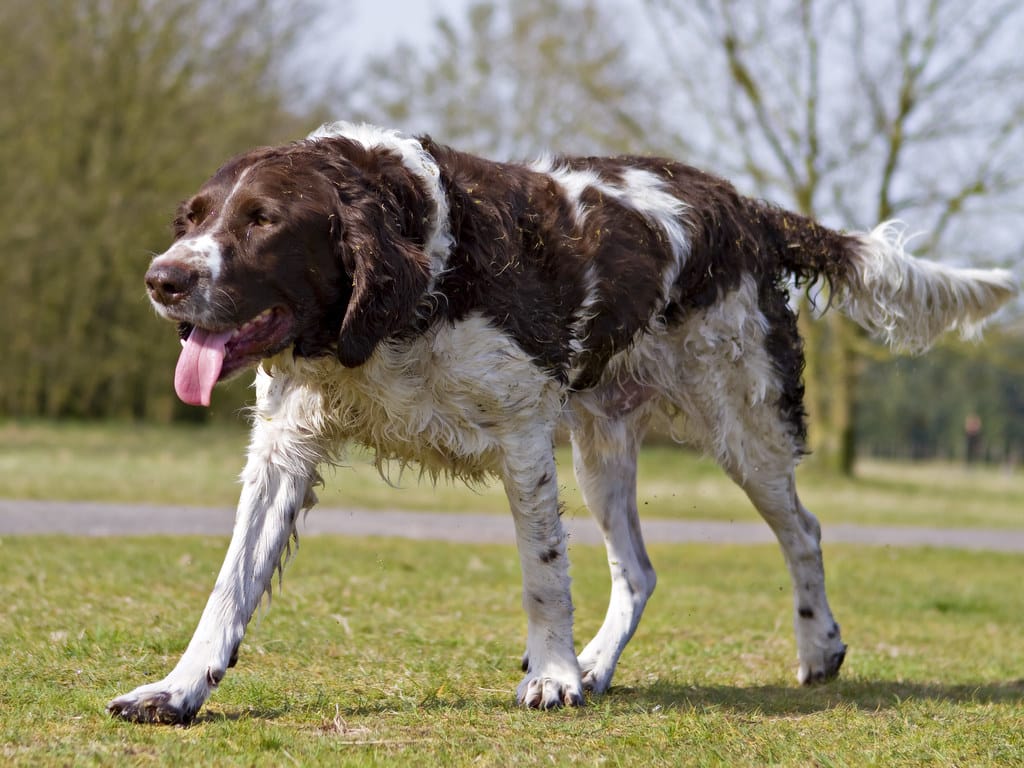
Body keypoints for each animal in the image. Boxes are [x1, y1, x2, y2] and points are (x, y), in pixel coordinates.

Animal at [108, 123, 1019, 724]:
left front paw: (551, 675)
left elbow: (543, 574)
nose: (160, 279)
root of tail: (748, 209)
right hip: (602, 445)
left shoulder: (520, 436)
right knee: (640, 570)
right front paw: (177, 689)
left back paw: (817, 647)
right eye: (192, 219)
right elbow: (229, 586)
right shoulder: (284, 450)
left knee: (804, 529)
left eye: (262, 220)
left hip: (741, 426)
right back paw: (601, 666)